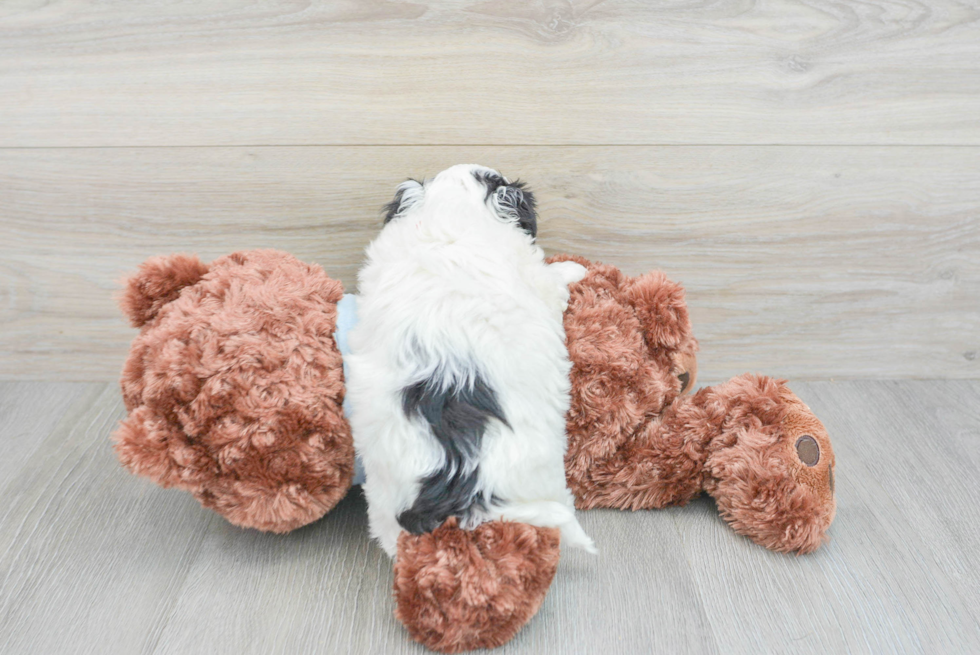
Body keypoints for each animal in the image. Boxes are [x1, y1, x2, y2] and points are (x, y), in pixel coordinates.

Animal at [350, 165, 596, 560]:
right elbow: (554, 277)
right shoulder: (538, 281)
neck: (451, 216)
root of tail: (452, 486)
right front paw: (574, 268)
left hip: (386, 506)